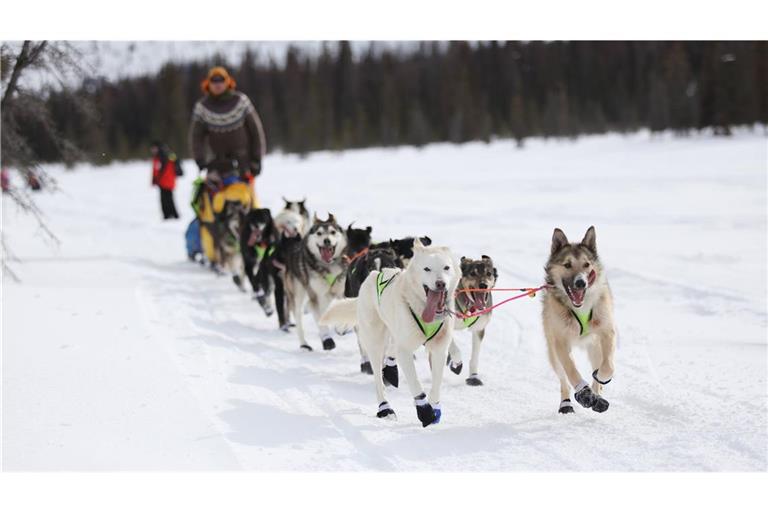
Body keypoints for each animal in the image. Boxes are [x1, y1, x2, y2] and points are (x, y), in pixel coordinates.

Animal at [320, 240, 460, 428]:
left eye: (446, 267)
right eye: (427, 269)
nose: (440, 284)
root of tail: (373, 275)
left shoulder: (439, 348)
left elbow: (436, 383)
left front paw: (435, 407)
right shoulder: (405, 350)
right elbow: (415, 383)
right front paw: (425, 412)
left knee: (392, 350)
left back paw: (391, 370)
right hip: (375, 341)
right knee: (378, 378)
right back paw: (385, 407)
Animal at [540, 226, 616, 414]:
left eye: (586, 264)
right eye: (567, 265)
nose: (581, 282)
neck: (580, 308)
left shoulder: (606, 332)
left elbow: (607, 367)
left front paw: (599, 382)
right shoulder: (560, 342)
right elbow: (571, 370)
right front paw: (584, 393)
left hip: (595, 347)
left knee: (599, 366)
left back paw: (598, 396)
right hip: (553, 353)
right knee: (563, 378)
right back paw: (567, 403)